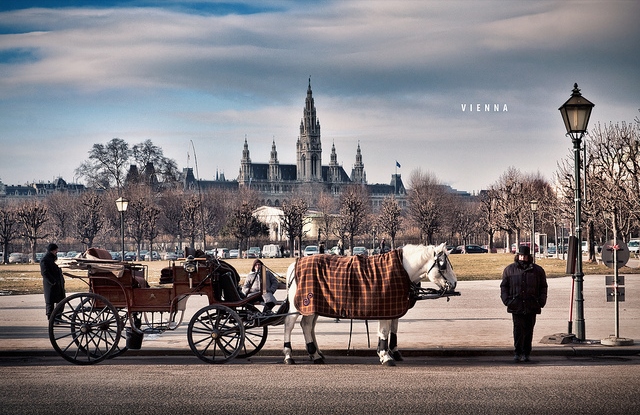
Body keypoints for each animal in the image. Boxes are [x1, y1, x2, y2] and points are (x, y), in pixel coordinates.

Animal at [282, 242, 458, 366]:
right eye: (443, 265)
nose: (455, 283)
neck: (401, 269)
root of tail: (295, 264)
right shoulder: (386, 306)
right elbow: (385, 331)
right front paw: (385, 355)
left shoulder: (391, 306)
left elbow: (389, 330)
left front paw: (386, 352)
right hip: (300, 305)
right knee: (290, 324)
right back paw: (289, 354)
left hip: (312, 306)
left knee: (307, 325)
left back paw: (316, 354)